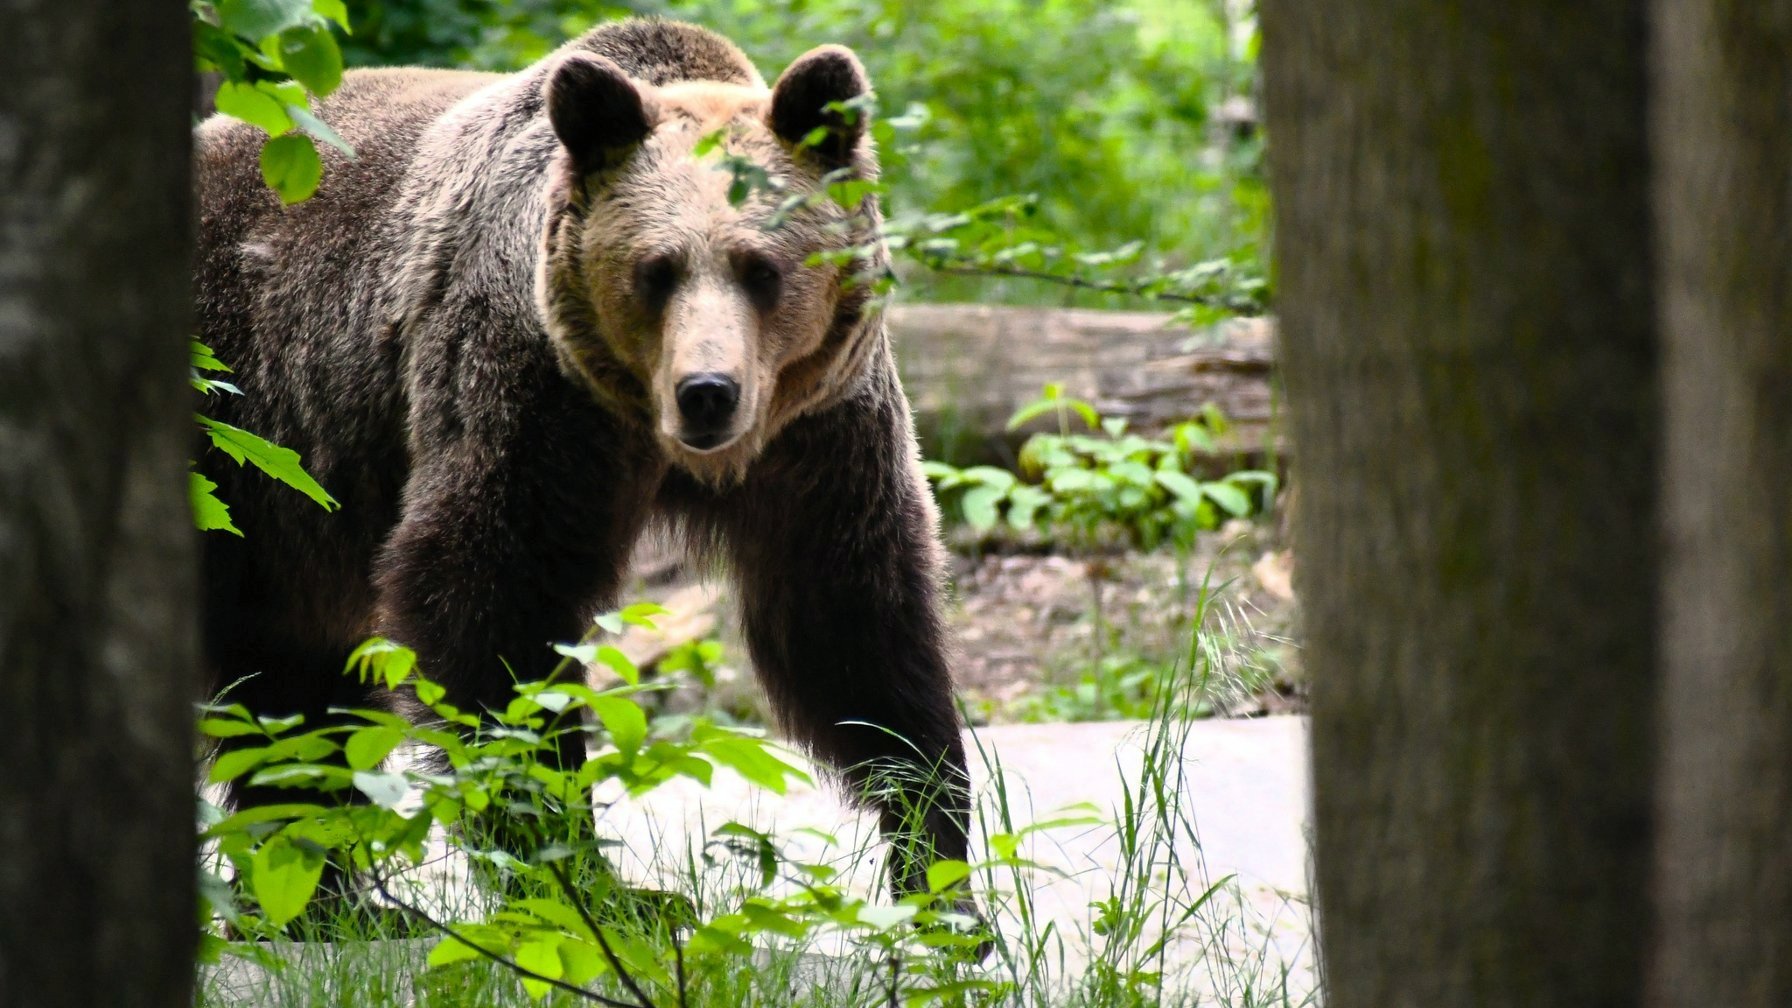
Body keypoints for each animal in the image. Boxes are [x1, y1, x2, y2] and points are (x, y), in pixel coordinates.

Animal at [194, 17, 974, 911]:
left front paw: (940, 870)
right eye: (656, 270)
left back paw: (327, 897)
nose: (709, 393)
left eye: (761, 268)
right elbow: (490, 597)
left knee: (291, 684)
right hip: (242, 415)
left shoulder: (818, 429)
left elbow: (854, 623)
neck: (651, 432)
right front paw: (594, 885)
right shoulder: (532, 393)